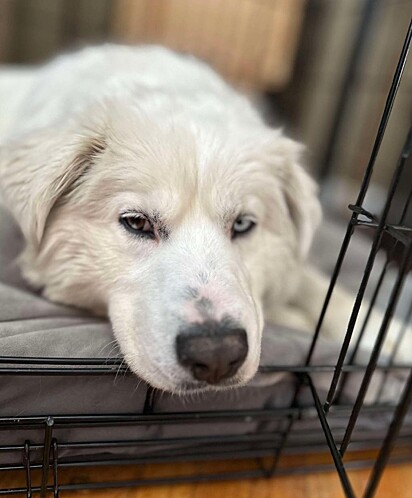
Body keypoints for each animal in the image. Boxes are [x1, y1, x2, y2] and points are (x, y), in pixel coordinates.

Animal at [2, 44, 406, 392]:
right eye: (137, 223)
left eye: (242, 224)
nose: (216, 355)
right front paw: (300, 320)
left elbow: (324, 288)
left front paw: (391, 339)